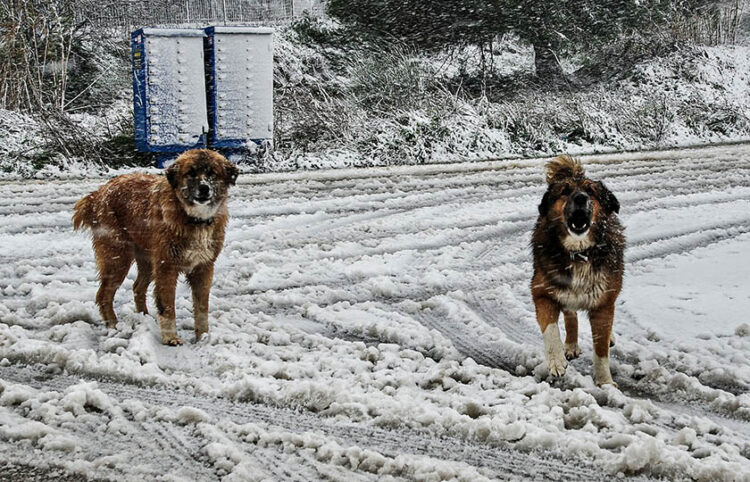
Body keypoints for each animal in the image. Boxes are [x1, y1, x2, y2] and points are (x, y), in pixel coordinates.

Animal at [72, 149, 238, 344]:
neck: (193, 219)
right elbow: (167, 306)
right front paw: (171, 338)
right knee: (104, 294)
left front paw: (203, 337)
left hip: (148, 260)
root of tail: (97, 194)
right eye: (190, 173)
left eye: (212, 173)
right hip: (118, 258)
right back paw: (113, 325)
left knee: (137, 287)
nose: (204, 188)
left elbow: (202, 307)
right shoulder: (167, 267)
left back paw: (144, 317)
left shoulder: (203, 267)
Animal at [532, 156, 624, 386]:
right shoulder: (541, 292)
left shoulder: (603, 303)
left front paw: (605, 382)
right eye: (565, 191)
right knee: (570, 315)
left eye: (591, 192)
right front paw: (556, 360)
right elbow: (550, 328)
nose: (581, 198)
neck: (579, 253)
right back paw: (571, 345)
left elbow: (600, 349)